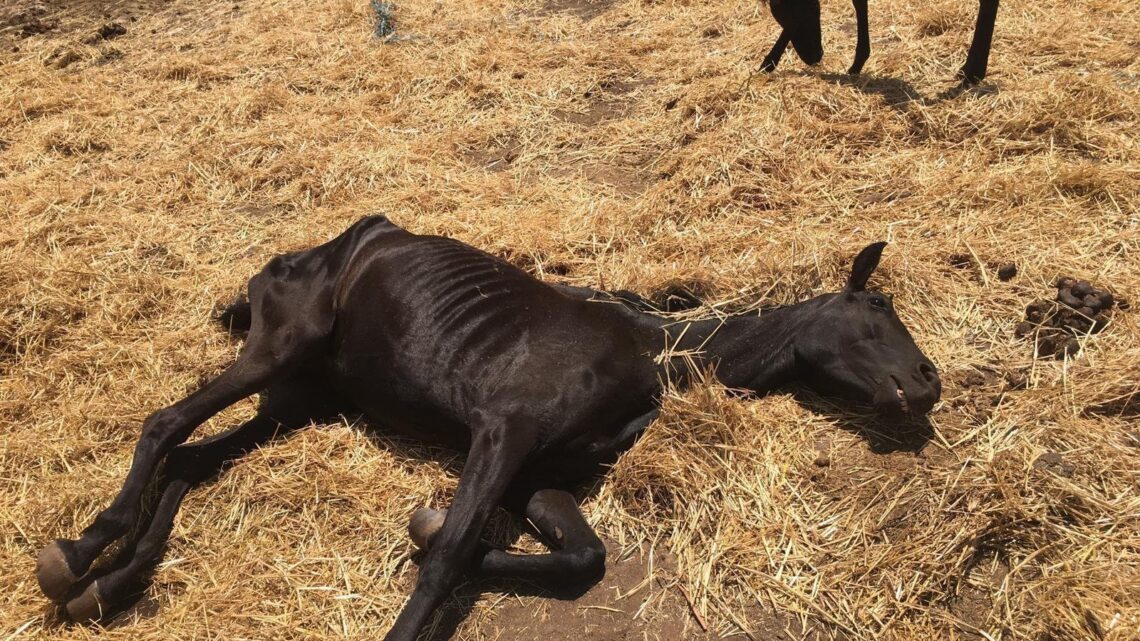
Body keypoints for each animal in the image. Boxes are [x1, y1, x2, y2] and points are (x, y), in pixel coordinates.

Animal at [37, 215, 943, 638]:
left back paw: (107, 584)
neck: (643, 351)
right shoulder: (503, 431)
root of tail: (291, 259)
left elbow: (576, 556)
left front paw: (430, 524)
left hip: (301, 400)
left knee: (193, 460)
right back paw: (75, 554)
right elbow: (444, 562)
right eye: (877, 311)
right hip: (276, 350)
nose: (930, 384)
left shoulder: (540, 473)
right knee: (164, 422)